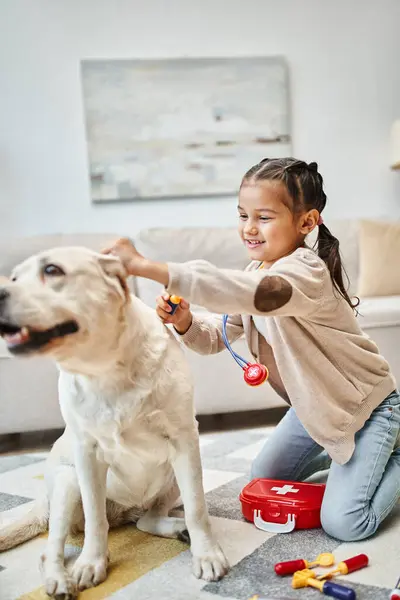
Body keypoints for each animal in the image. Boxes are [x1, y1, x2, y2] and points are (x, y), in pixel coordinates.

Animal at [0, 246, 228, 596]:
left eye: (52, 270)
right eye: (13, 278)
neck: (106, 369)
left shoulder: (185, 442)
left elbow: (197, 508)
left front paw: (207, 555)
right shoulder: (87, 455)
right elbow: (96, 520)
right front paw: (91, 563)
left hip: (171, 478)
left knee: (147, 520)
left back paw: (179, 529)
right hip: (67, 482)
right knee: (52, 547)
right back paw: (60, 579)